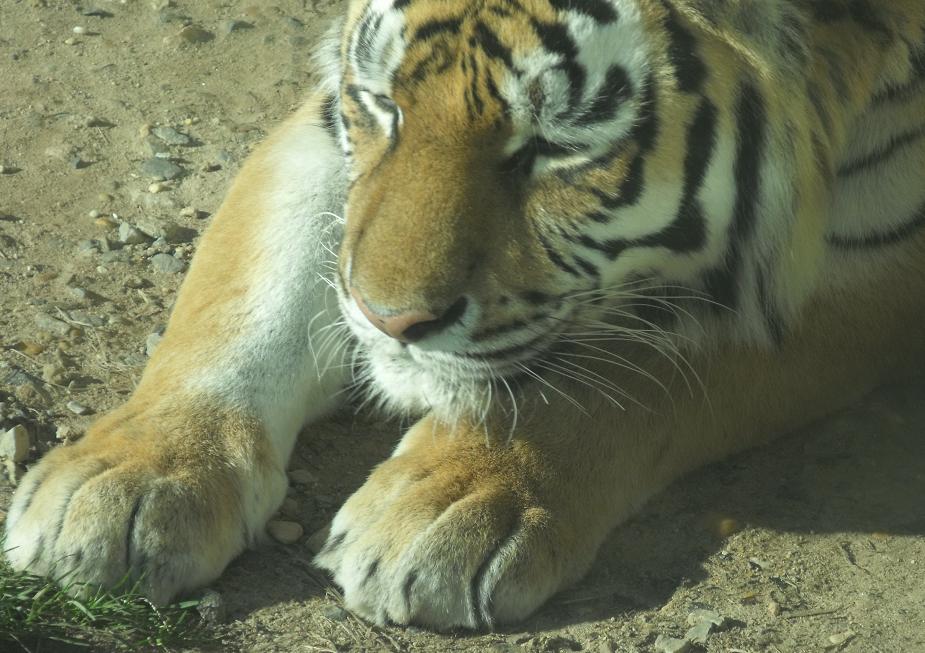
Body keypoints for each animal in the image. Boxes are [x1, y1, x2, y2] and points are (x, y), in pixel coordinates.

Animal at [5, 0, 925, 631]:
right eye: (384, 102)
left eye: (558, 145)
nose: (386, 320)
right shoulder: (323, 126)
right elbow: (246, 292)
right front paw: (127, 482)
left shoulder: (871, 254)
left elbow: (637, 367)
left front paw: (444, 513)